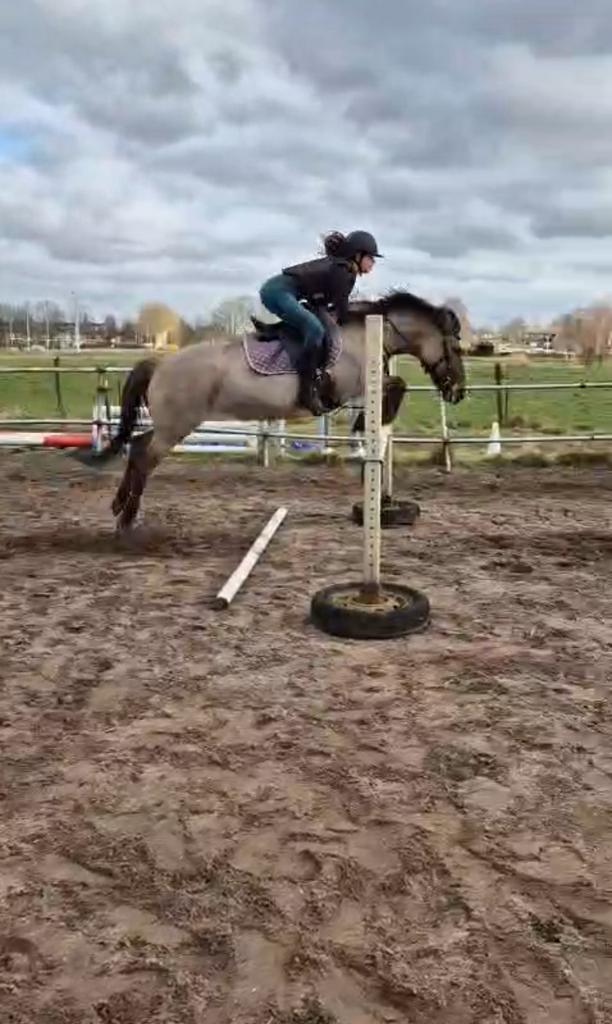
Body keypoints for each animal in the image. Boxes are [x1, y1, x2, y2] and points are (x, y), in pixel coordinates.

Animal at [87, 290, 466, 532]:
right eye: (454, 346)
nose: (458, 392)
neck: (364, 335)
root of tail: (161, 364)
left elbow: (394, 386)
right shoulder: (349, 387)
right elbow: (396, 385)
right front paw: (363, 428)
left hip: (171, 425)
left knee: (137, 446)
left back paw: (119, 507)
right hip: (176, 427)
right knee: (145, 458)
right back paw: (126, 519)